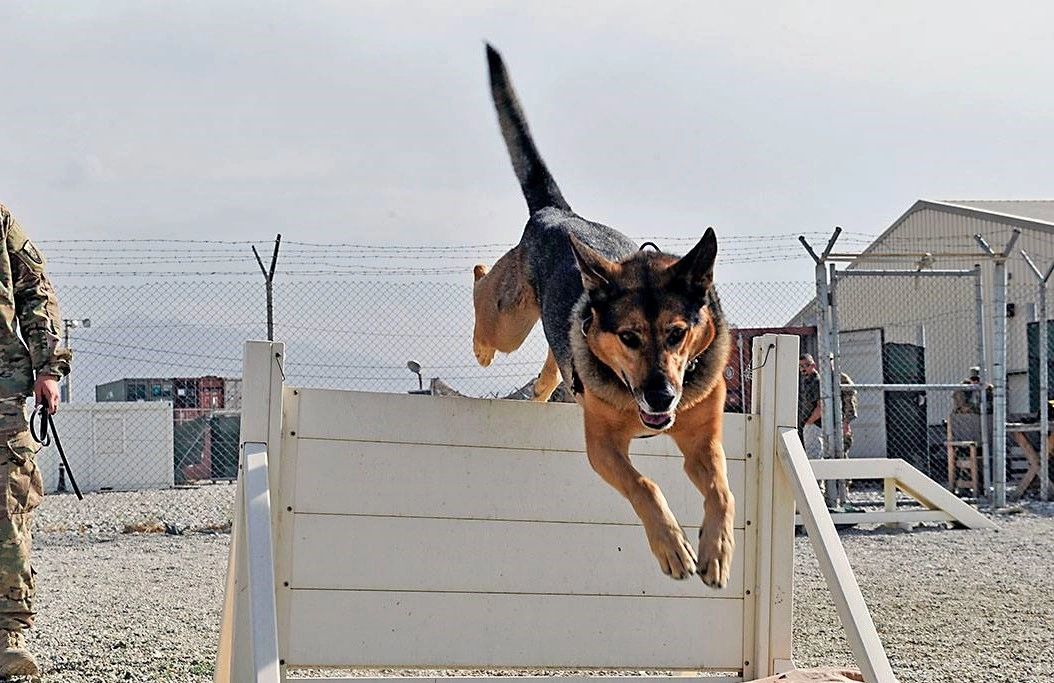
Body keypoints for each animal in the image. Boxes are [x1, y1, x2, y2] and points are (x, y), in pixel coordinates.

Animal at [476, 45, 733, 586]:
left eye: (678, 334)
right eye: (629, 337)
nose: (661, 396)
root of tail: (559, 213)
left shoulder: (704, 443)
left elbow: (721, 491)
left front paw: (717, 550)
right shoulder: (602, 447)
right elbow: (644, 485)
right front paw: (672, 547)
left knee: (557, 354)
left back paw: (542, 388)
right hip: (508, 318)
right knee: (486, 301)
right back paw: (484, 340)